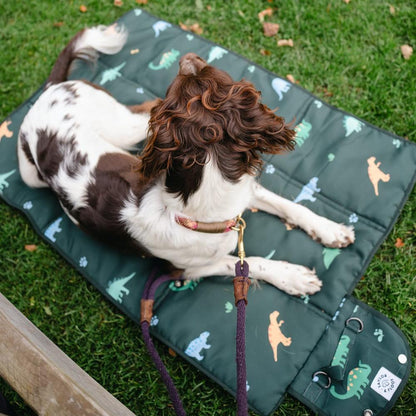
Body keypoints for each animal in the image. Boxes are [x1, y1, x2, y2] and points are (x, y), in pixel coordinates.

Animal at [17, 24, 354, 296]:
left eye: (206, 73)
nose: (188, 57)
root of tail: (49, 90)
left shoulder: (244, 192)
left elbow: (291, 206)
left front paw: (330, 230)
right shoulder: (185, 270)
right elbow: (247, 263)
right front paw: (294, 276)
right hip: (46, 168)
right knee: (143, 107)